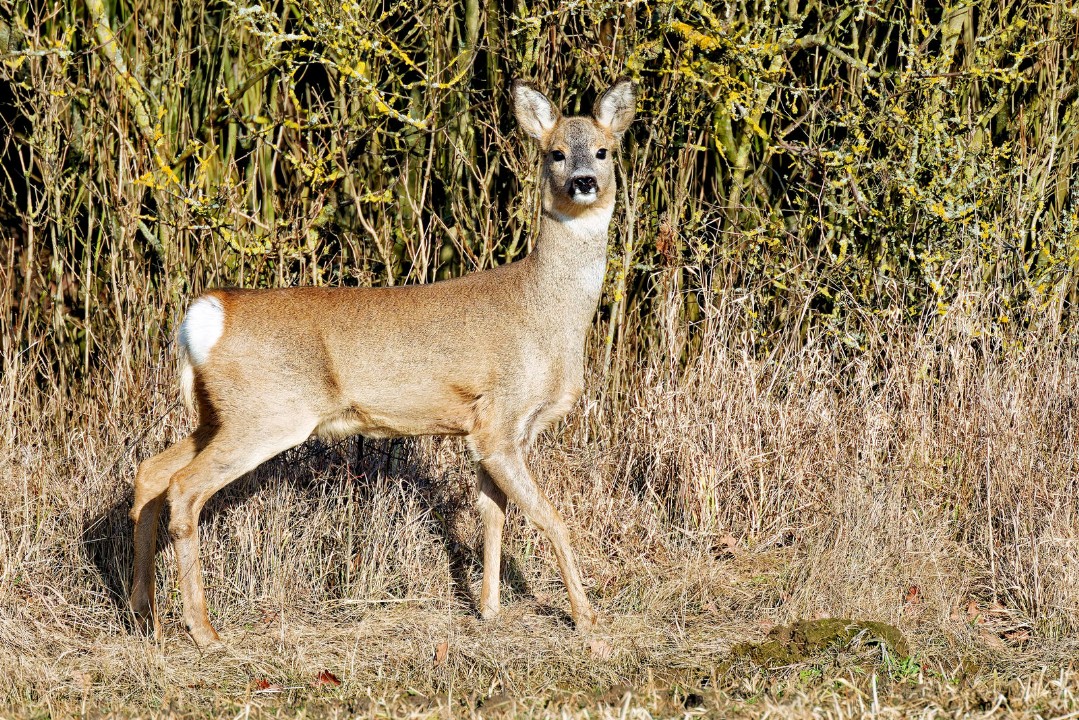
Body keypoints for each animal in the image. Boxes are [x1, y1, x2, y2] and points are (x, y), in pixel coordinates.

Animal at [128, 78, 636, 648]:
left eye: (604, 150)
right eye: (555, 153)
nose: (583, 181)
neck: (547, 311)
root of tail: (207, 315)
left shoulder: (488, 430)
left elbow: (493, 514)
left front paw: (488, 609)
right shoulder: (500, 420)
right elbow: (550, 518)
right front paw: (588, 620)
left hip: (218, 414)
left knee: (151, 473)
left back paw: (144, 613)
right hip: (266, 413)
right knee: (183, 489)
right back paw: (203, 630)